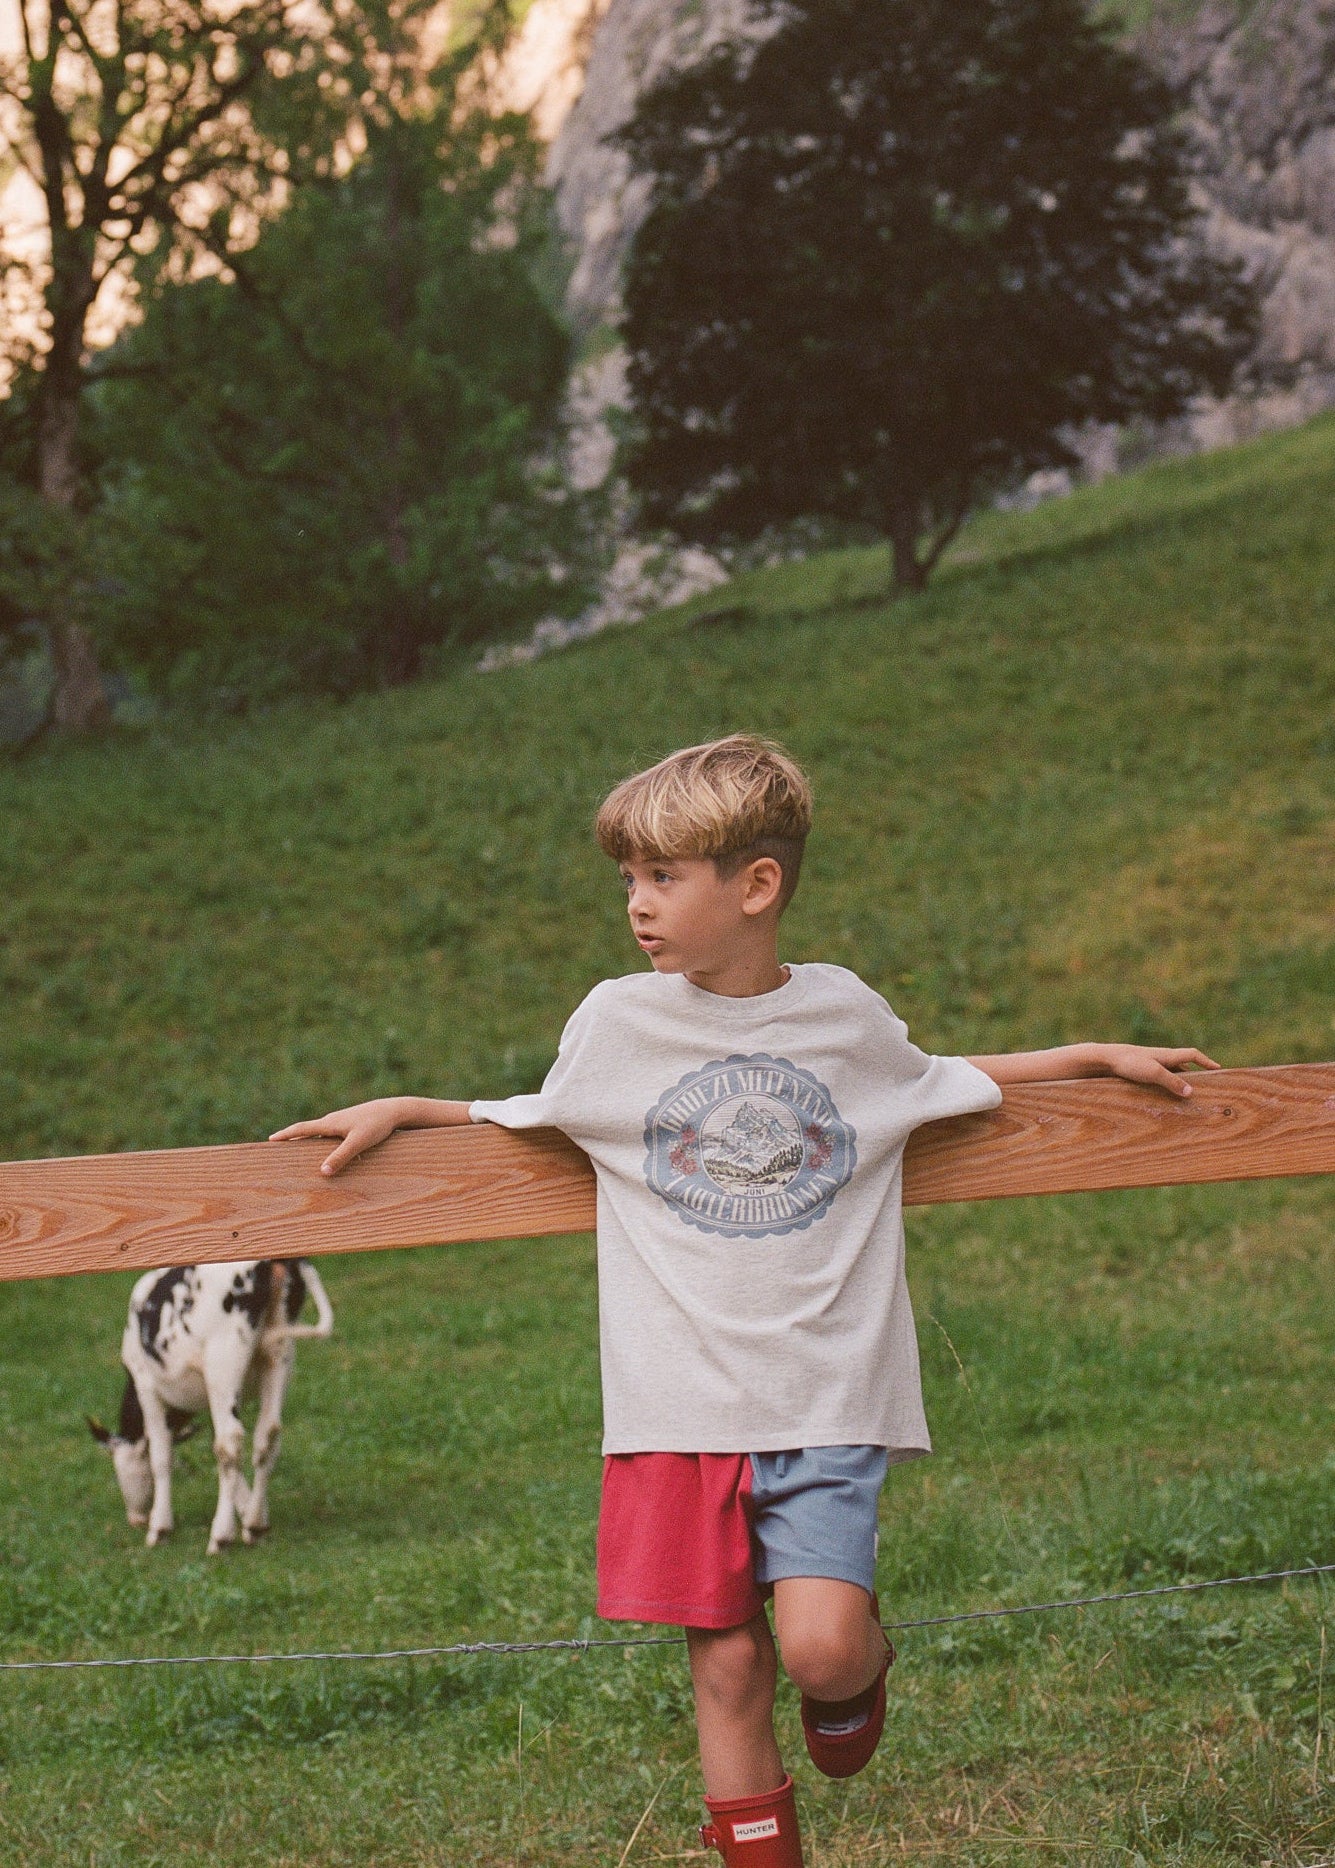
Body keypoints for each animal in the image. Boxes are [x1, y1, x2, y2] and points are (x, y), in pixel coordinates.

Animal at [88, 1259, 333, 1554]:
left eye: (116, 1467)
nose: (136, 1518)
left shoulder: (147, 1387)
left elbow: (161, 1455)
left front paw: (159, 1528)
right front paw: (249, 1514)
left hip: (223, 1360)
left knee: (230, 1441)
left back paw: (221, 1535)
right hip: (279, 1356)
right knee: (268, 1434)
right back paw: (255, 1523)